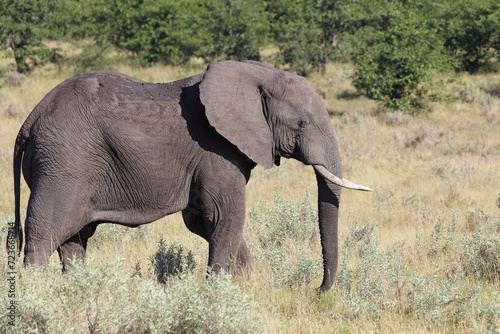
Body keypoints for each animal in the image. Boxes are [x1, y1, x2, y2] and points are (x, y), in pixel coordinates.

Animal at [10, 61, 372, 290]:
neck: (256, 75)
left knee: (74, 240)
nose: (318, 290)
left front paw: (246, 285)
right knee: (45, 234)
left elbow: (204, 221)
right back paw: (36, 296)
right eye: (303, 124)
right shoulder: (217, 150)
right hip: (64, 162)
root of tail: (30, 119)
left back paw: (75, 290)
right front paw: (218, 293)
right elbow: (224, 216)